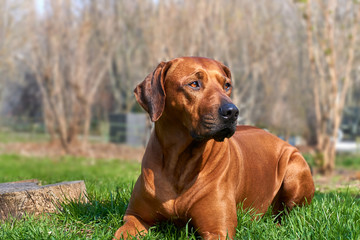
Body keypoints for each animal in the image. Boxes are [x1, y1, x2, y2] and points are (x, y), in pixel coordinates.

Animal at [114, 56, 314, 240]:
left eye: (227, 85)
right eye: (194, 84)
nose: (232, 112)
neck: (179, 163)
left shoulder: (218, 230)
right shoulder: (135, 216)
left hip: (295, 169)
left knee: (289, 214)